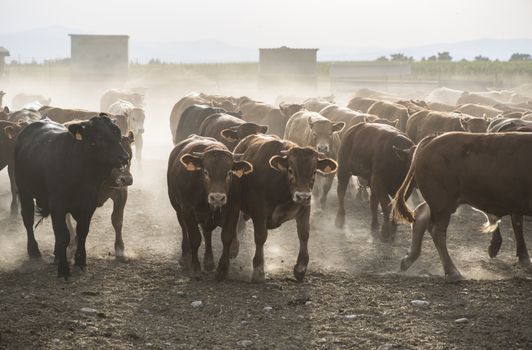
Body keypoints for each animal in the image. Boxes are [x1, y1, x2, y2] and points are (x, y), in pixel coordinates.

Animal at [15, 115, 129, 278]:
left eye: (117, 132)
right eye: (99, 137)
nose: (124, 157)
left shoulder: (88, 205)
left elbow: (82, 232)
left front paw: (80, 262)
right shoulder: (57, 205)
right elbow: (63, 235)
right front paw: (63, 269)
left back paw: (56, 254)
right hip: (24, 191)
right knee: (28, 219)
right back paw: (34, 252)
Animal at [167, 135, 252, 280]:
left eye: (229, 172)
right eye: (205, 172)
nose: (217, 197)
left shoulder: (233, 210)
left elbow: (227, 237)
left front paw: (222, 269)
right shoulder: (188, 210)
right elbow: (195, 238)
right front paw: (195, 268)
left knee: (207, 233)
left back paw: (209, 261)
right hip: (177, 208)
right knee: (184, 228)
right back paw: (185, 257)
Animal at [234, 134, 336, 282]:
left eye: (314, 172)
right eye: (291, 170)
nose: (302, 196)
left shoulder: (305, 208)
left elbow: (304, 233)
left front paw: (300, 267)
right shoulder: (259, 210)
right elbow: (261, 236)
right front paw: (258, 270)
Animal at [392, 133, 532, 280]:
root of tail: (432, 139)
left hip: (441, 203)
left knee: (421, 215)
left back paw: (408, 260)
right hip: (442, 203)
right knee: (437, 231)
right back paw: (452, 271)